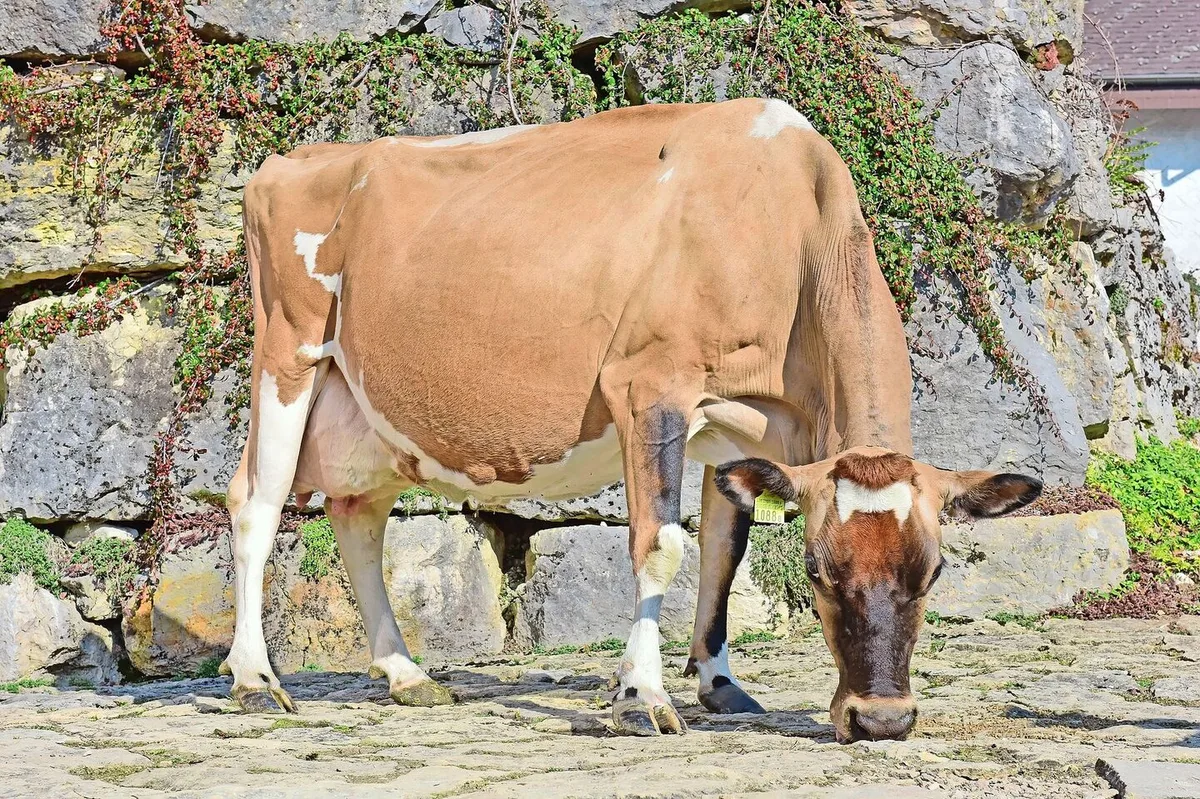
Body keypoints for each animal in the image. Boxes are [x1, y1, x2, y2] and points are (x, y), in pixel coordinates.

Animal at [223, 98, 1042, 742]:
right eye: (817, 569)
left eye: (933, 570)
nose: (881, 719)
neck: (780, 225)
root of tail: (292, 160)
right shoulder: (651, 385)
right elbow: (662, 545)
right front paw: (640, 695)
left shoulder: (742, 430)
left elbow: (723, 549)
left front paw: (718, 682)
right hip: (288, 351)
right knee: (255, 502)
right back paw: (256, 679)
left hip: (369, 410)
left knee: (357, 516)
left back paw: (404, 673)